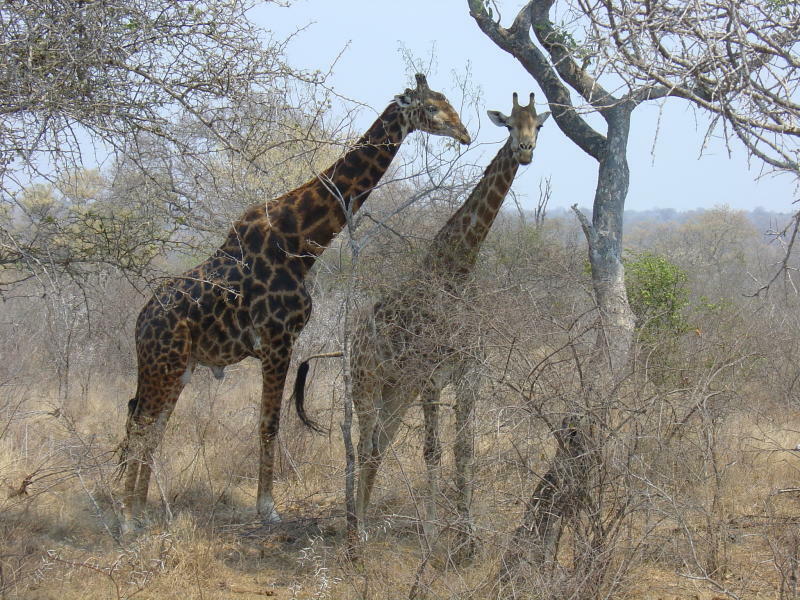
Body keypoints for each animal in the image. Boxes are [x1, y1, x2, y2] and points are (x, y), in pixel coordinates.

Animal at [118, 72, 468, 532]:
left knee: (151, 426)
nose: (465, 133)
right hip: (165, 360)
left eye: (448, 103)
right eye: (431, 107)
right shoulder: (277, 339)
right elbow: (269, 423)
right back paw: (126, 520)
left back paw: (140, 513)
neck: (302, 241)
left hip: (179, 365)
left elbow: (269, 421)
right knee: (141, 425)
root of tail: (140, 322)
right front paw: (268, 508)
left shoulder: (281, 342)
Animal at [294, 90, 552, 548]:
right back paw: (357, 527)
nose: (524, 151)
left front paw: (467, 535)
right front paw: (432, 535)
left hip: (399, 392)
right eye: (508, 124)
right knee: (364, 443)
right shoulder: (433, 375)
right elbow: (432, 451)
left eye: (538, 125)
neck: (458, 271)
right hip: (368, 384)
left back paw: (365, 522)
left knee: (380, 444)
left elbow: (464, 450)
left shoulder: (469, 373)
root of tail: (353, 341)